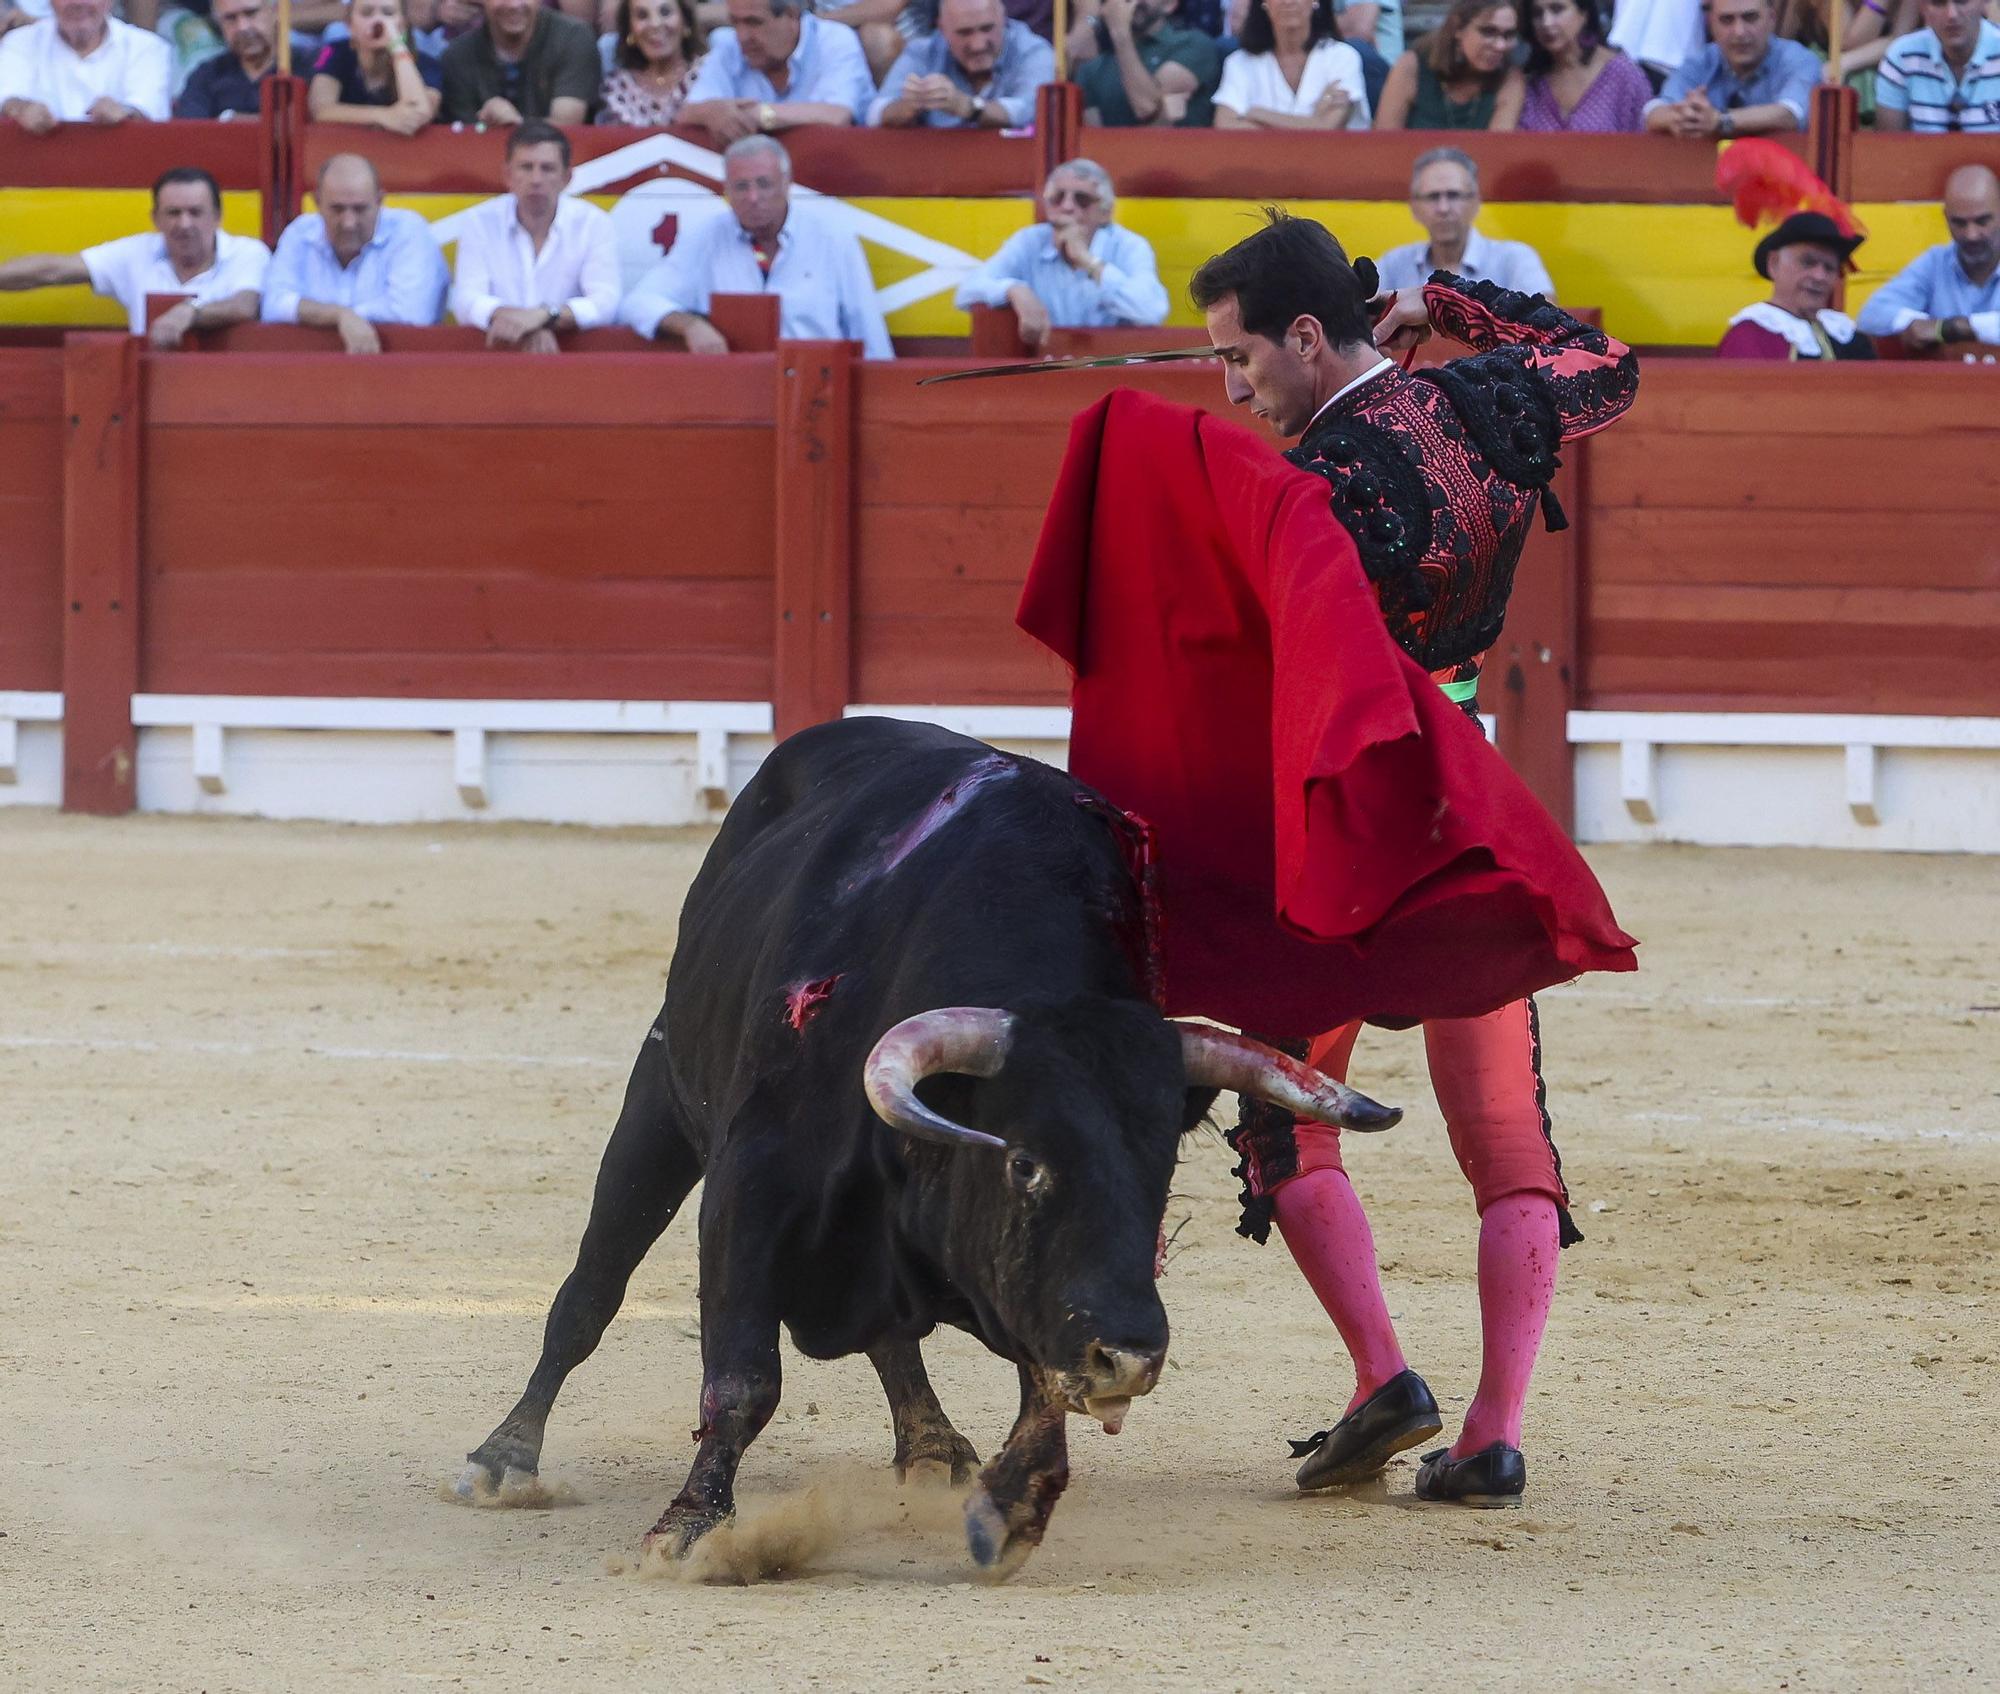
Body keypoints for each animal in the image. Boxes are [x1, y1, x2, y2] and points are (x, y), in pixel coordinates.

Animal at [456, 716, 1400, 1576]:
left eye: (1159, 1172)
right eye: (1023, 1162)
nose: (1130, 1355)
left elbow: (1040, 1378)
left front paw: (1012, 1508)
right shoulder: (748, 1184)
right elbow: (742, 1374)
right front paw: (688, 1530)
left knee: (891, 1334)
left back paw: (934, 1445)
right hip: (659, 1099)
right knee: (591, 1290)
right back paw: (503, 1460)